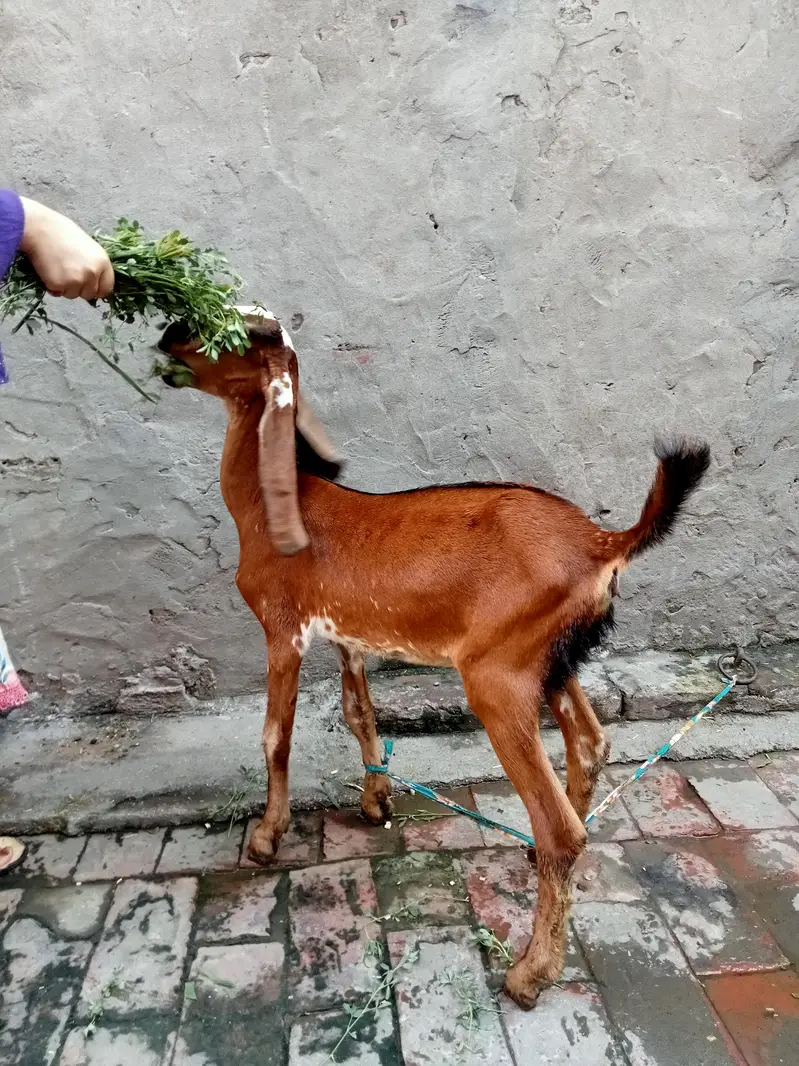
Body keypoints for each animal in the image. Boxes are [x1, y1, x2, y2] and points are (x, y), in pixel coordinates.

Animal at [158, 316, 710, 1009]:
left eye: (231, 332)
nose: (163, 340)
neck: (275, 503)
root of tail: (604, 543)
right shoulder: (348, 638)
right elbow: (359, 713)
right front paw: (375, 803)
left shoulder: (283, 631)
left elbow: (275, 736)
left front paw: (265, 837)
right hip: (553, 664)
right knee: (590, 744)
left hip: (499, 676)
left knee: (561, 825)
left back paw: (530, 973)